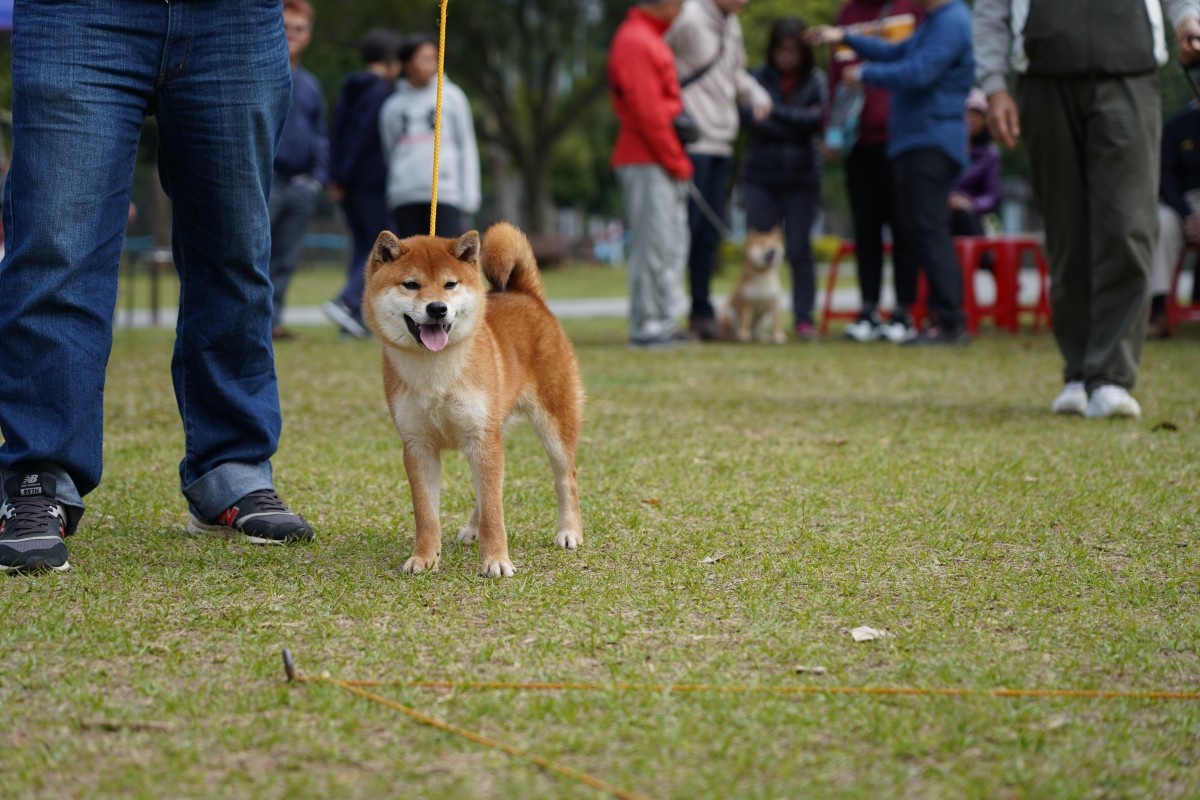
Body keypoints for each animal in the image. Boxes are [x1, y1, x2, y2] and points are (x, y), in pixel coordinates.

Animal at [360, 221, 585, 578]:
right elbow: (427, 514)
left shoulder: (482, 438)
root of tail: (526, 295)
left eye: (450, 284)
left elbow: (495, 512)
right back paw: (471, 529)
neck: (436, 373)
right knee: (489, 490)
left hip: (553, 426)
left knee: (566, 479)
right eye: (411, 285)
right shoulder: (419, 446)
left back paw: (569, 532)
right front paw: (424, 557)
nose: (437, 308)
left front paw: (496, 560)